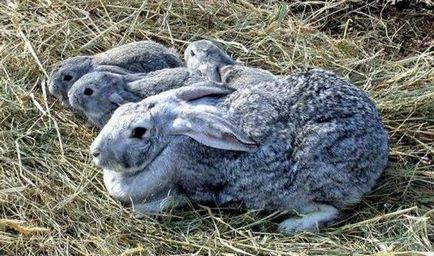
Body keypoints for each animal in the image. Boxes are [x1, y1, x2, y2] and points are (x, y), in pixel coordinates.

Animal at [90, 68, 388, 234]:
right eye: (121, 110)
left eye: (138, 132)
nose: (95, 152)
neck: (171, 142)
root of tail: (379, 143)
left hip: (298, 191)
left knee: (330, 210)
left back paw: (291, 227)